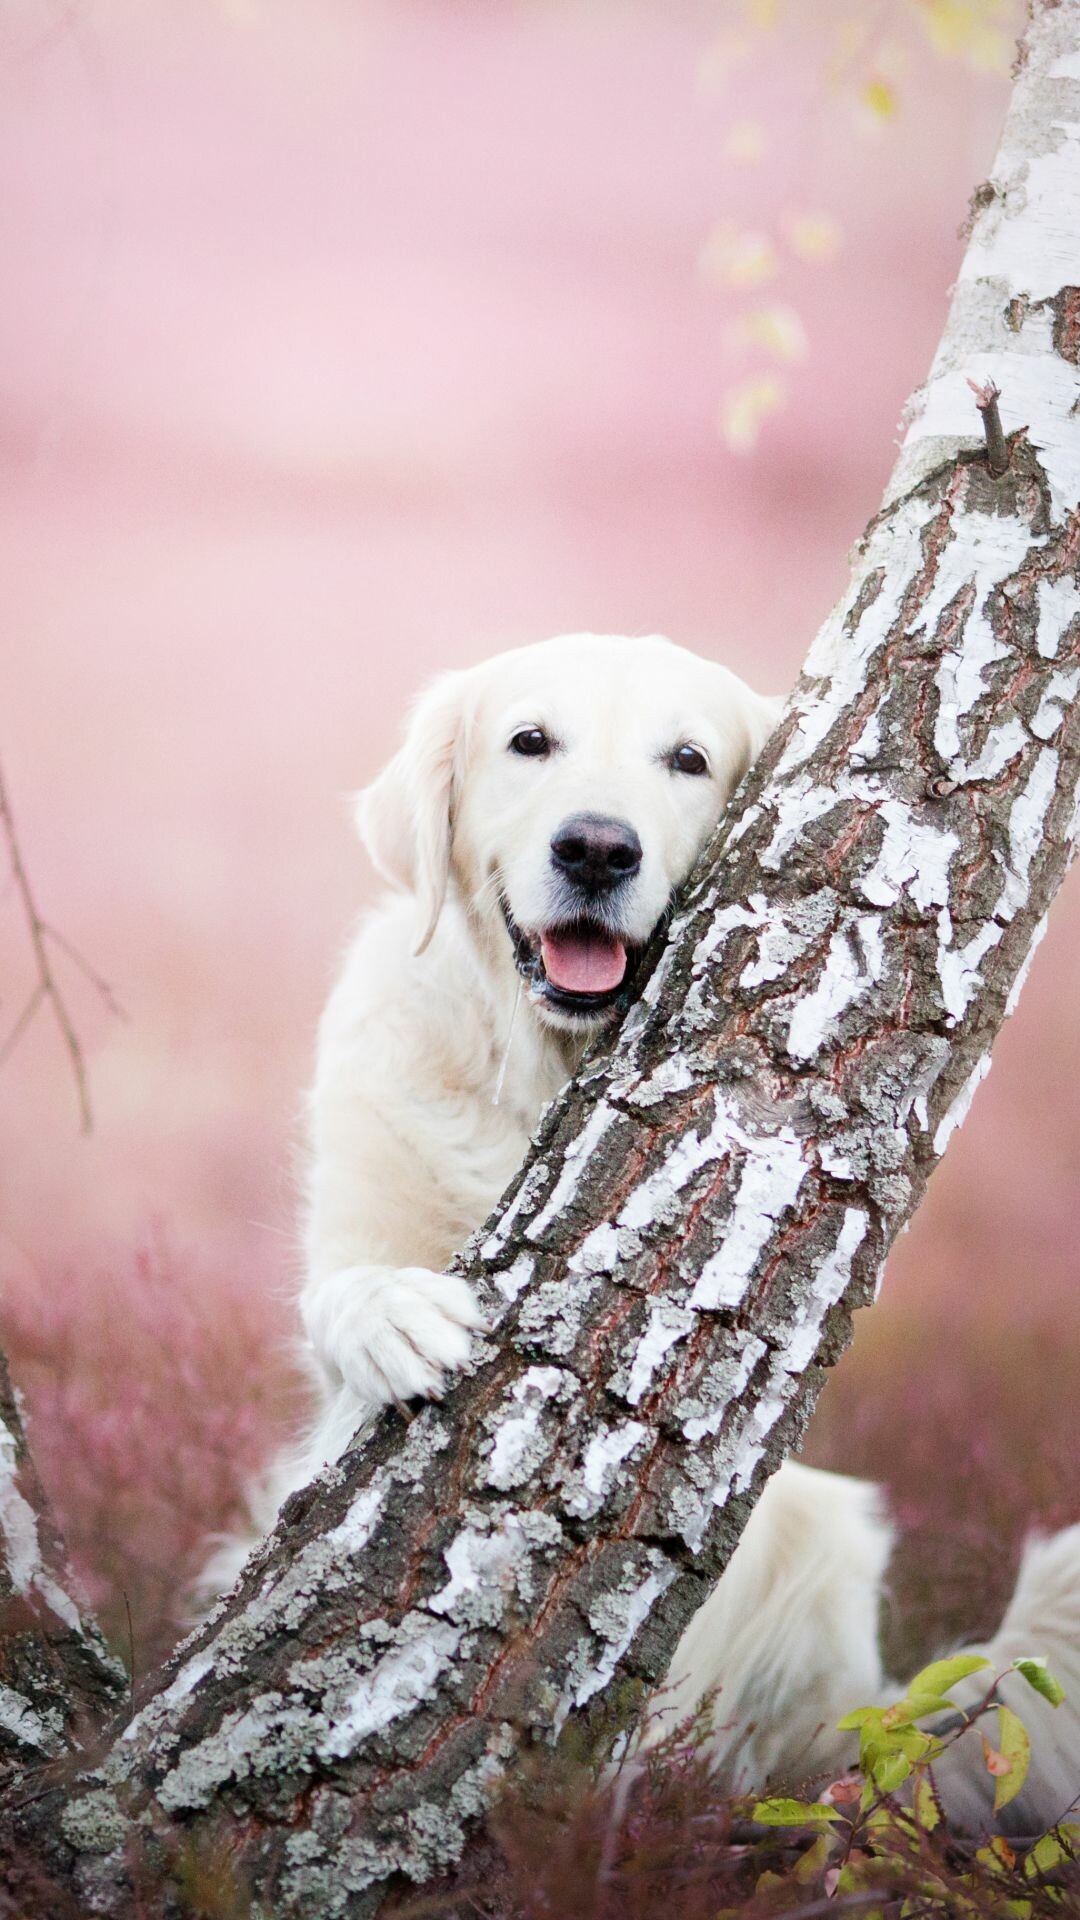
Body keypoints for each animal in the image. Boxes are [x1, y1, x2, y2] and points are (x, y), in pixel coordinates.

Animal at [208, 633, 1076, 1827]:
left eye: (689, 759)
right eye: (530, 741)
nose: (597, 849)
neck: (545, 1073)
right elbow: (344, 1293)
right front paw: (392, 1317)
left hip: (826, 1546)